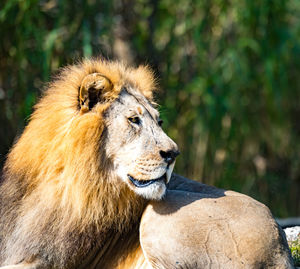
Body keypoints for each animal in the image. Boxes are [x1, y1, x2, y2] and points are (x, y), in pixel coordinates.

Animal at [0, 59, 294, 268]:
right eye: (134, 120)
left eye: (159, 121)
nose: (173, 153)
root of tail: (280, 249)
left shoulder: (50, 260)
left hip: (158, 215)